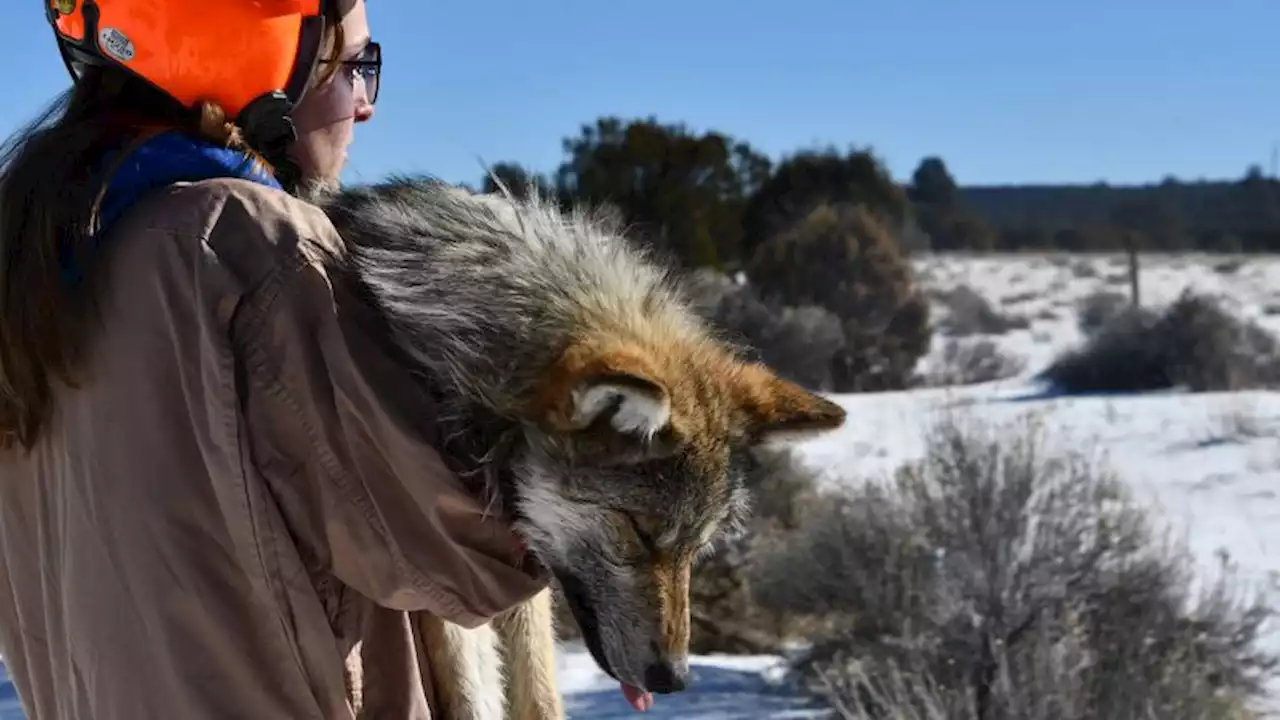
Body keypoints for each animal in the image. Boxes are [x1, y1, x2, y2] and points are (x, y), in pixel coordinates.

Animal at [318, 176, 844, 712]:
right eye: (640, 531)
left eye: (697, 547)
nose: (674, 679)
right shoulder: (439, 577)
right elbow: (474, 696)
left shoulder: (518, 578)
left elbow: (541, 698)